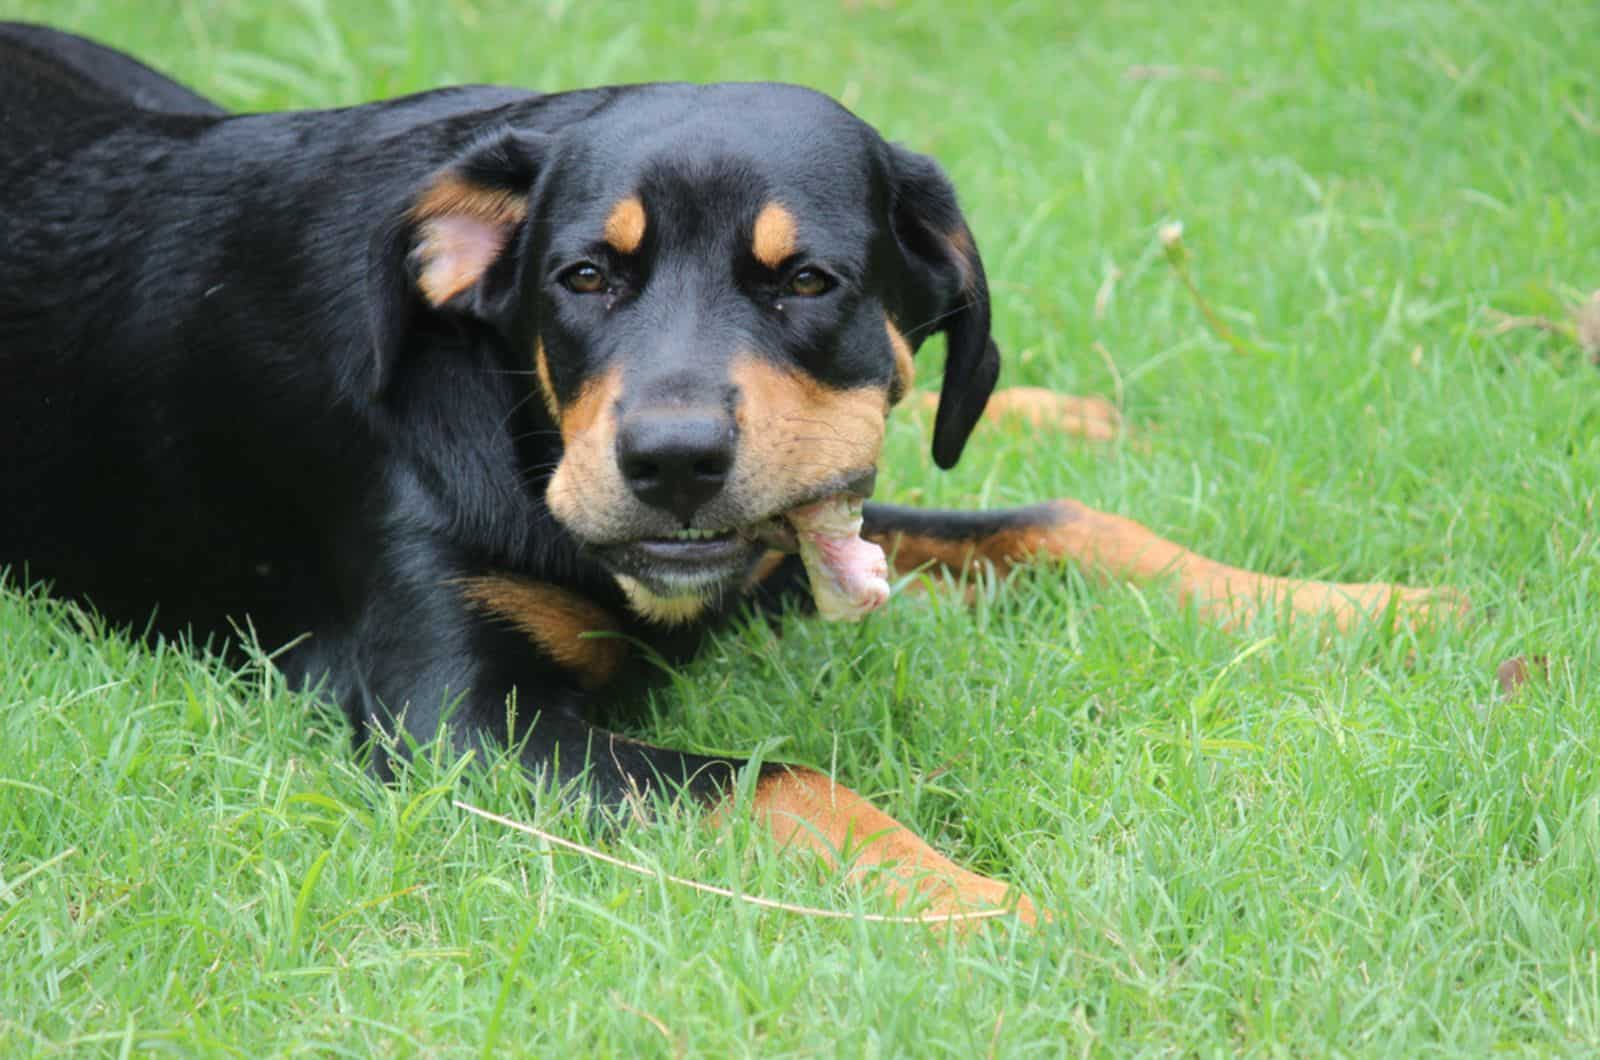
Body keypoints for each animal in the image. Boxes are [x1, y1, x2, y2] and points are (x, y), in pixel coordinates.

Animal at [0, 20, 1452, 928]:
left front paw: (1371, 607)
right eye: (585, 276)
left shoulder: (810, 521)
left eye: (807, 281)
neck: (515, 413)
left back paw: (1094, 411)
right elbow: (787, 779)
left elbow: (1058, 521)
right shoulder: (452, 723)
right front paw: (988, 904)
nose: (674, 460)